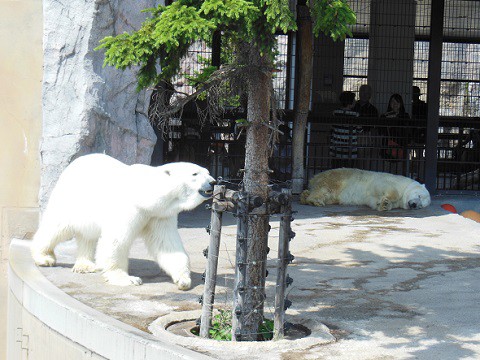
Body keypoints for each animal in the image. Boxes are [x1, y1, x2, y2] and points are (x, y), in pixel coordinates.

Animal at [30, 153, 216, 288]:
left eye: (208, 172)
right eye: (195, 173)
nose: (213, 182)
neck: (147, 196)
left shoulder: (159, 215)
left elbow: (167, 245)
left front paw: (183, 279)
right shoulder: (130, 208)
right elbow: (116, 241)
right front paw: (127, 279)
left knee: (87, 235)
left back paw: (85, 265)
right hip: (70, 200)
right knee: (57, 227)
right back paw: (44, 257)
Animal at [300, 168, 432, 211]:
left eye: (421, 206)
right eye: (419, 196)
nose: (414, 205)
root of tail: (314, 178)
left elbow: (373, 201)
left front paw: (383, 204)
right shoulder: (390, 181)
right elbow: (386, 186)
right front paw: (386, 201)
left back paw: (305, 196)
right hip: (336, 180)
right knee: (324, 189)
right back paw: (315, 200)